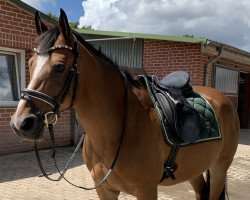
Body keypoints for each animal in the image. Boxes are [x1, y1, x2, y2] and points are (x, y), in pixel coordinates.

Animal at [10, 9, 240, 200]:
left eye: (59, 67)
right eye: (29, 63)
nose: (21, 123)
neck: (118, 129)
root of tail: (221, 99)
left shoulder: (146, 190)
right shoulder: (105, 190)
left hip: (219, 169)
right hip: (195, 169)